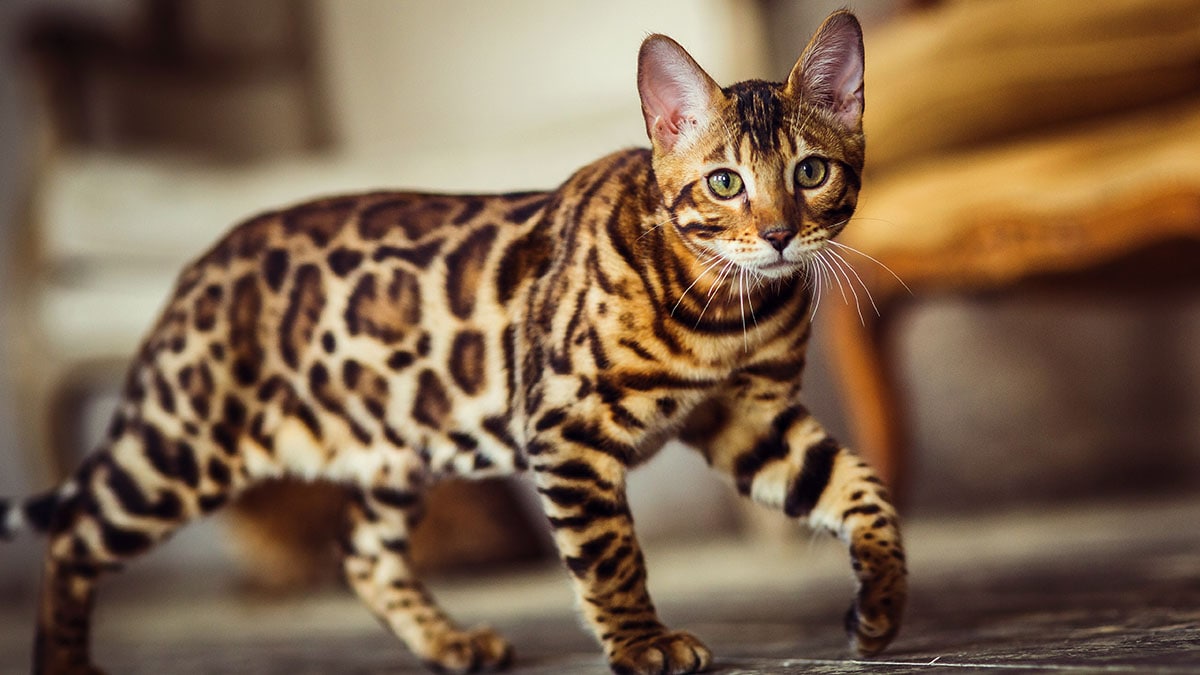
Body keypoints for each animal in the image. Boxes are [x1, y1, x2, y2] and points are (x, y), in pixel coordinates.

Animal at [0, 11, 902, 672]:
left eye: (811, 172)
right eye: (724, 183)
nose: (779, 235)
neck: (727, 308)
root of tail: (194, 271)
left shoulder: (752, 416)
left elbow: (865, 492)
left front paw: (882, 602)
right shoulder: (565, 426)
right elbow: (610, 552)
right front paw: (643, 643)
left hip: (391, 446)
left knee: (360, 553)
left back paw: (450, 642)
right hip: (180, 448)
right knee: (73, 531)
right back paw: (63, 661)